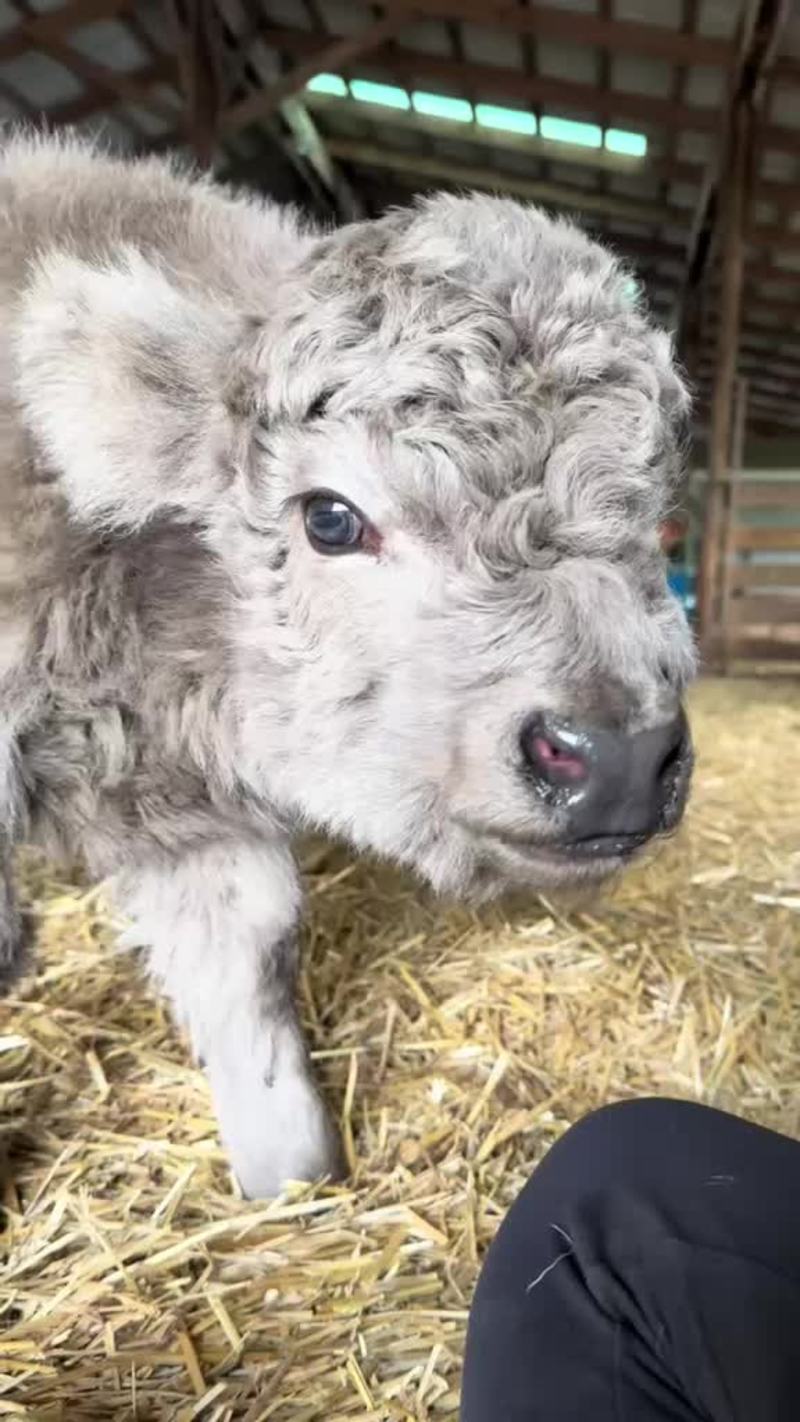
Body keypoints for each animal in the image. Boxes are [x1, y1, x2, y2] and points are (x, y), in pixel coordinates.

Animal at [0, 133, 694, 1196]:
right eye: (330, 517)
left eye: (657, 522)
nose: (615, 755)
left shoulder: (199, 821)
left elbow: (247, 964)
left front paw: (289, 1177)